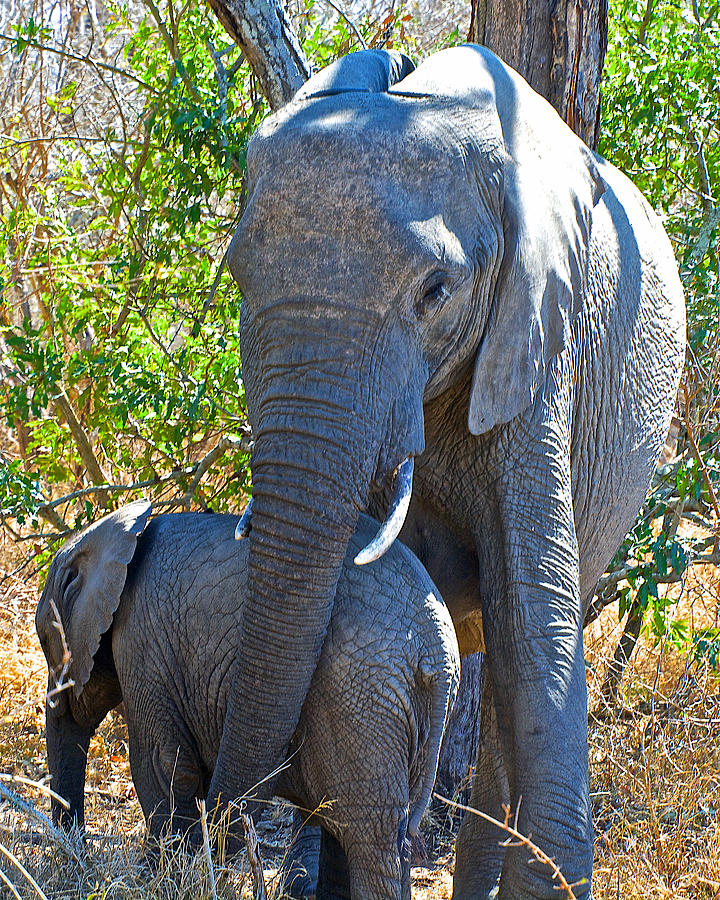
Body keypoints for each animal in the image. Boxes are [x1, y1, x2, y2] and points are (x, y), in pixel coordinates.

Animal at [36, 502, 458, 896]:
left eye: (47, 645)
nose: (77, 865)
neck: (117, 537)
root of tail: (435, 654)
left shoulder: (142, 642)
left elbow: (161, 766)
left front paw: (158, 883)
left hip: (359, 700)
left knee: (371, 839)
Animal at [207, 45, 688, 896]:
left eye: (436, 292)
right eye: (237, 278)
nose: (222, 834)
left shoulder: (539, 349)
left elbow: (535, 613)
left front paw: (554, 880)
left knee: (511, 654)